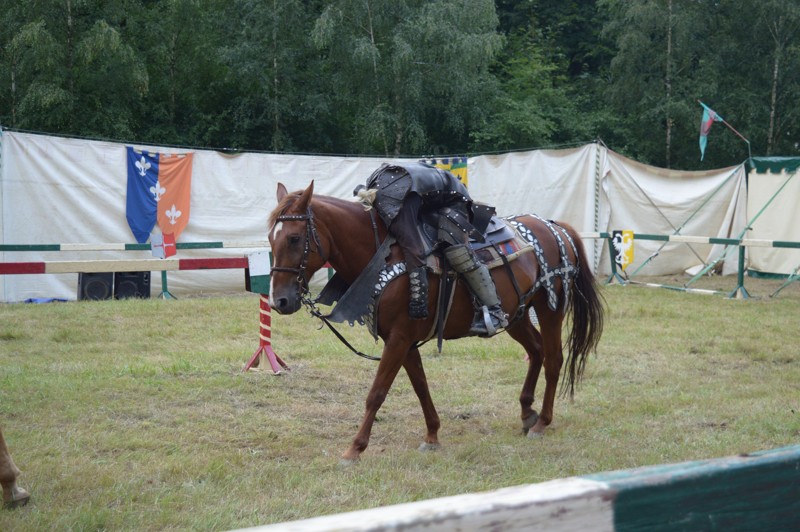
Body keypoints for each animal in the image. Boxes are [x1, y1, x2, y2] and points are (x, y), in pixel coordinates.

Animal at [270, 182, 608, 462]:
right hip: (517, 315)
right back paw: (527, 413)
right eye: (271, 240)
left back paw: (543, 422)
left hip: (550, 308)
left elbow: (377, 393)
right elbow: (420, 386)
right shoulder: (403, 340)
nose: (280, 301)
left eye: (295, 238)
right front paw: (432, 435)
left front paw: (355, 448)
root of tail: (556, 227)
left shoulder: (400, 338)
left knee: (553, 359)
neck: (383, 255)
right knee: (536, 350)